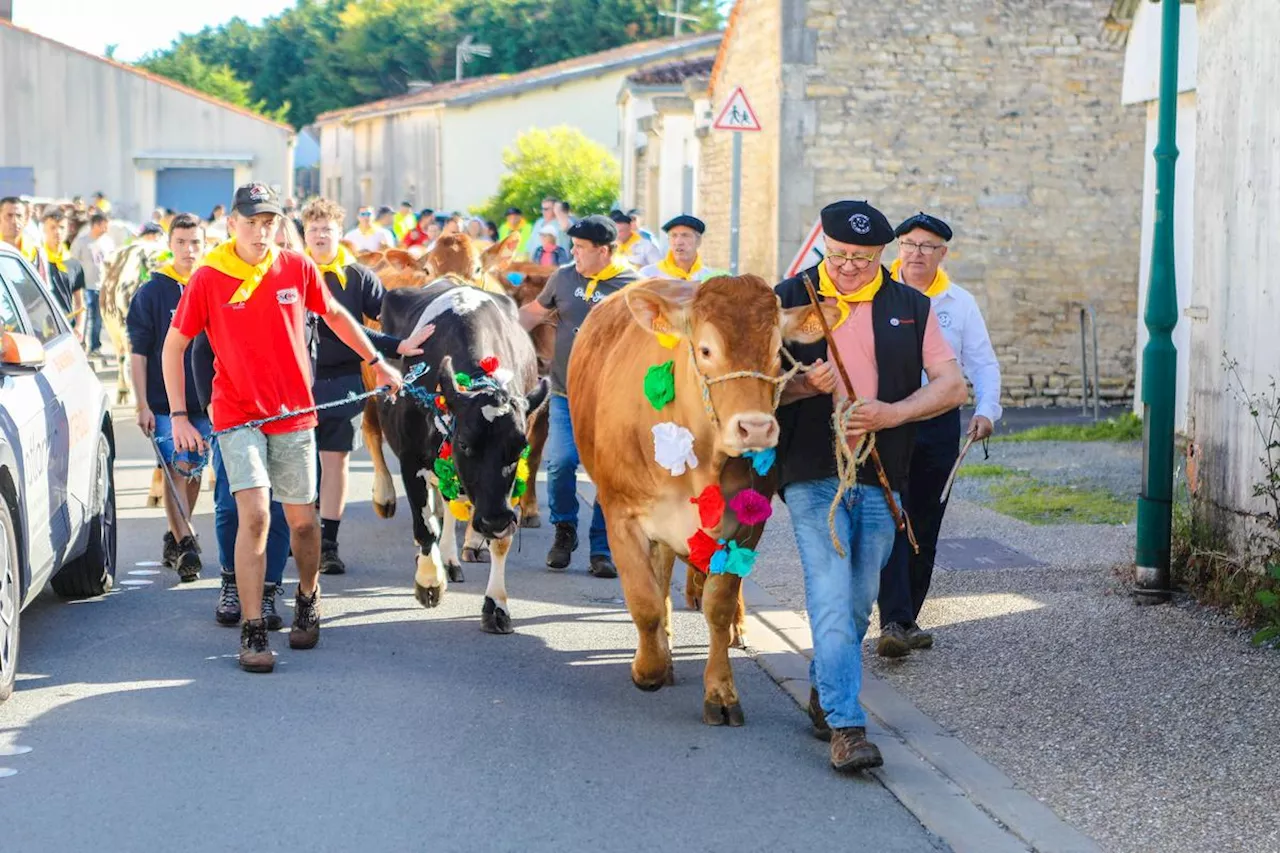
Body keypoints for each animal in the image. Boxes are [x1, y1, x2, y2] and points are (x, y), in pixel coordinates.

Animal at [373, 277, 545, 630]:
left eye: (519, 446)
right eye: (464, 443)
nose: (494, 520)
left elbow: (502, 540)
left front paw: (496, 605)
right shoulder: (410, 459)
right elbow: (425, 525)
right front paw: (429, 582)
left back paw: (451, 559)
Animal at [568, 274, 829, 722]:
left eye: (776, 351)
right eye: (706, 350)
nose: (755, 428)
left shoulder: (747, 525)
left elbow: (717, 606)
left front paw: (721, 692)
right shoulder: (621, 513)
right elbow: (645, 600)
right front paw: (650, 666)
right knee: (659, 577)